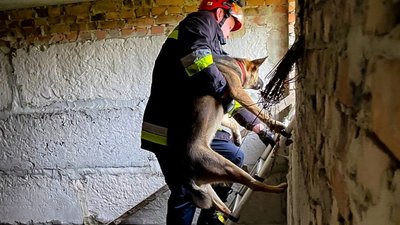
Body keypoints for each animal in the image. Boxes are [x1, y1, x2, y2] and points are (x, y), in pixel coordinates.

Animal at [169, 55, 288, 220]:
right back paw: (278, 188)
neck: (236, 64)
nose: (263, 83)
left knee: (219, 205)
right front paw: (275, 125)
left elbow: (232, 122)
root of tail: (187, 174)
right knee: (253, 184)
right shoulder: (237, 91)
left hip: (207, 187)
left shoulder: (224, 109)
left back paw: (226, 215)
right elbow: (258, 111)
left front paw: (238, 137)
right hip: (228, 167)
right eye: (257, 72)